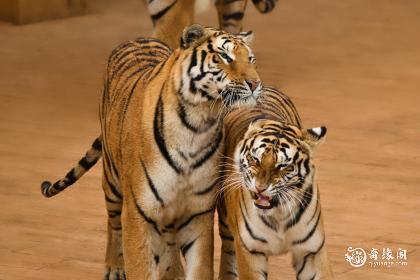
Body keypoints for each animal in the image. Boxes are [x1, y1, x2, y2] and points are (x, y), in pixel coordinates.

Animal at [40, 24, 262, 280]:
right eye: (225, 57)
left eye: (251, 59)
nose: (255, 84)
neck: (198, 125)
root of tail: (139, 38)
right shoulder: (138, 212)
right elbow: (139, 265)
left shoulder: (198, 214)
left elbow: (199, 267)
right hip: (113, 183)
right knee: (113, 224)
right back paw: (114, 267)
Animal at [218, 86, 334, 278]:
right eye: (255, 159)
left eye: (283, 166)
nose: (260, 188)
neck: (279, 214)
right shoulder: (251, 251)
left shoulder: (311, 251)